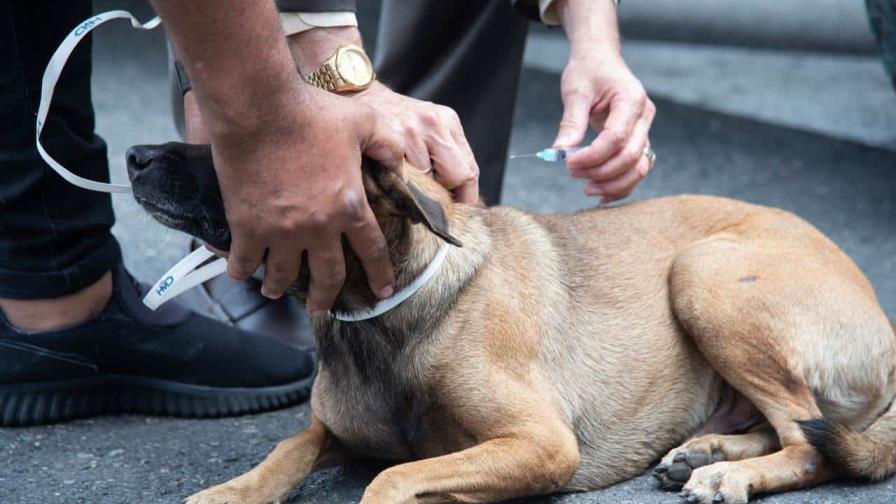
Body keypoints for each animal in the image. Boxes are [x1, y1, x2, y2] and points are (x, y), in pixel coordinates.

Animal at [122, 143, 892, 504]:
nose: (132, 156)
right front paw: (237, 488)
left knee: (811, 445)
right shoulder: (333, 429)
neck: (382, 316)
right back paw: (707, 451)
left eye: (243, 154)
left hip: (702, 276)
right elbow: (290, 447)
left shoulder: (540, 445)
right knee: (793, 426)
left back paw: (729, 474)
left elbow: (392, 479)